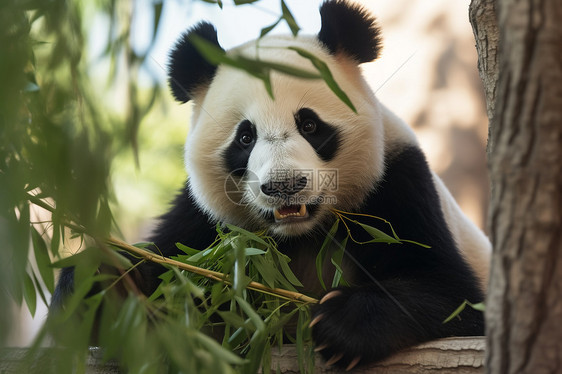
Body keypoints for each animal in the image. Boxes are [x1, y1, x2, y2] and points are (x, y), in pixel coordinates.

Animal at [53, 0, 490, 370]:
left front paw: (339, 325)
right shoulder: (206, 222)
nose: (284, 185)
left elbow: (454, 295)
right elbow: (169, 293)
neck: (299, 236)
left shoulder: (395, 185)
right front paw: (102, 282)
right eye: (245, 137)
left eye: (310, 125)